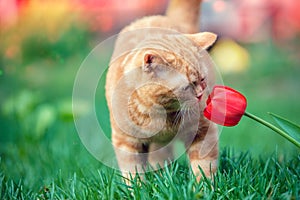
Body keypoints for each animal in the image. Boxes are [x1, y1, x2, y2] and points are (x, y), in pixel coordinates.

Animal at [105, 0, 218, 182]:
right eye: (187, 86)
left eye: (202, 80)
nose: (201, 96)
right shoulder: (125, 141)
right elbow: (133, 171)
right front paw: (137, 188)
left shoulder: (202, 130)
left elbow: (204, 165)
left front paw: (204, 186)